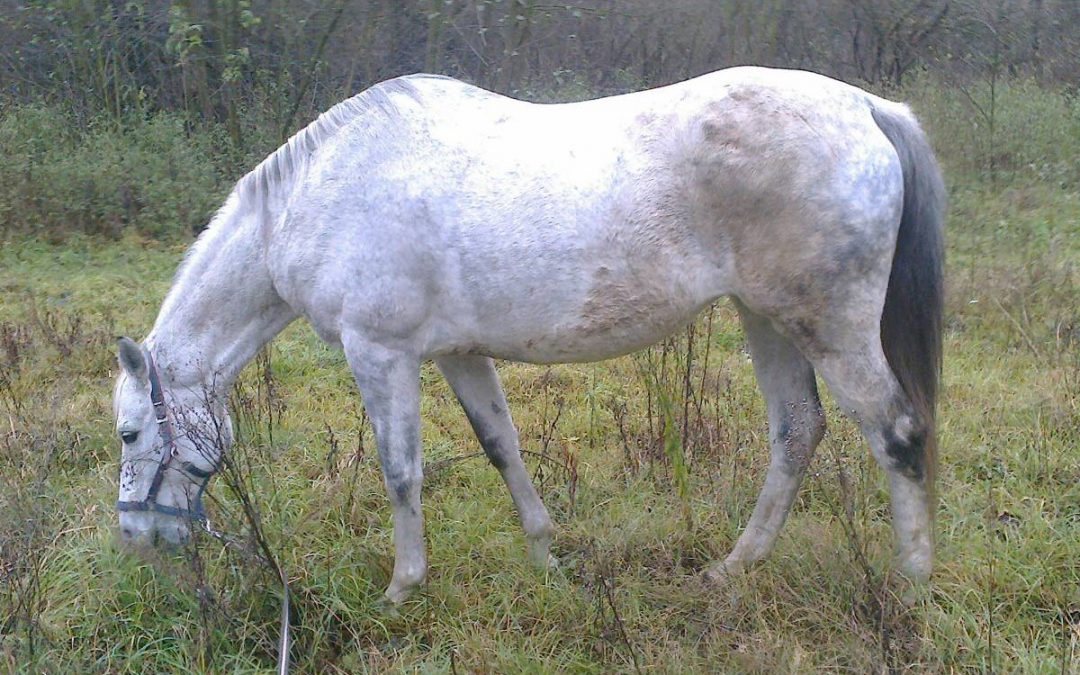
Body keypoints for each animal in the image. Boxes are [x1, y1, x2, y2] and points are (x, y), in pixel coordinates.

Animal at [113, 65, 946, 604]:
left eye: (127, 433)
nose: (136, 538)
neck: (319, 194)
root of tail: (870, 110)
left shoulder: (379, 352)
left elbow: (400, 471)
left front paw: (402, 588)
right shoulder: (457, 352)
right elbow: (502, 446)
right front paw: (546, 555)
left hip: (826, 325)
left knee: (896, 430)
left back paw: (910, 584)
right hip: (765, 317)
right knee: (797, 432)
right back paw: (734, 567)